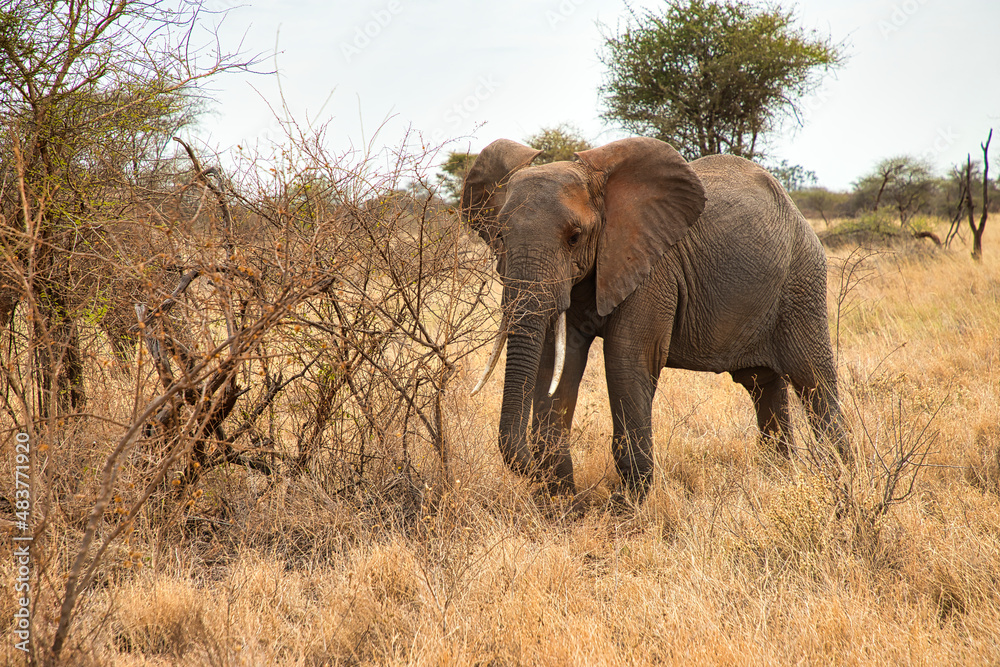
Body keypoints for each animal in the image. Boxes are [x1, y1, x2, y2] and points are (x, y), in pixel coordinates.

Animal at [461, 136, 845, 501]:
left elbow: (627, 359)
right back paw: (780, 478)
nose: (584, 496)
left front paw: (622, 507)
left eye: (574, 237)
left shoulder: (651, 269)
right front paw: (560, 503)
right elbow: (557, 362)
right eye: (499, 236)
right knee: (762, 384)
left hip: (801, 280)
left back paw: (840, 481)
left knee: (814, 380)